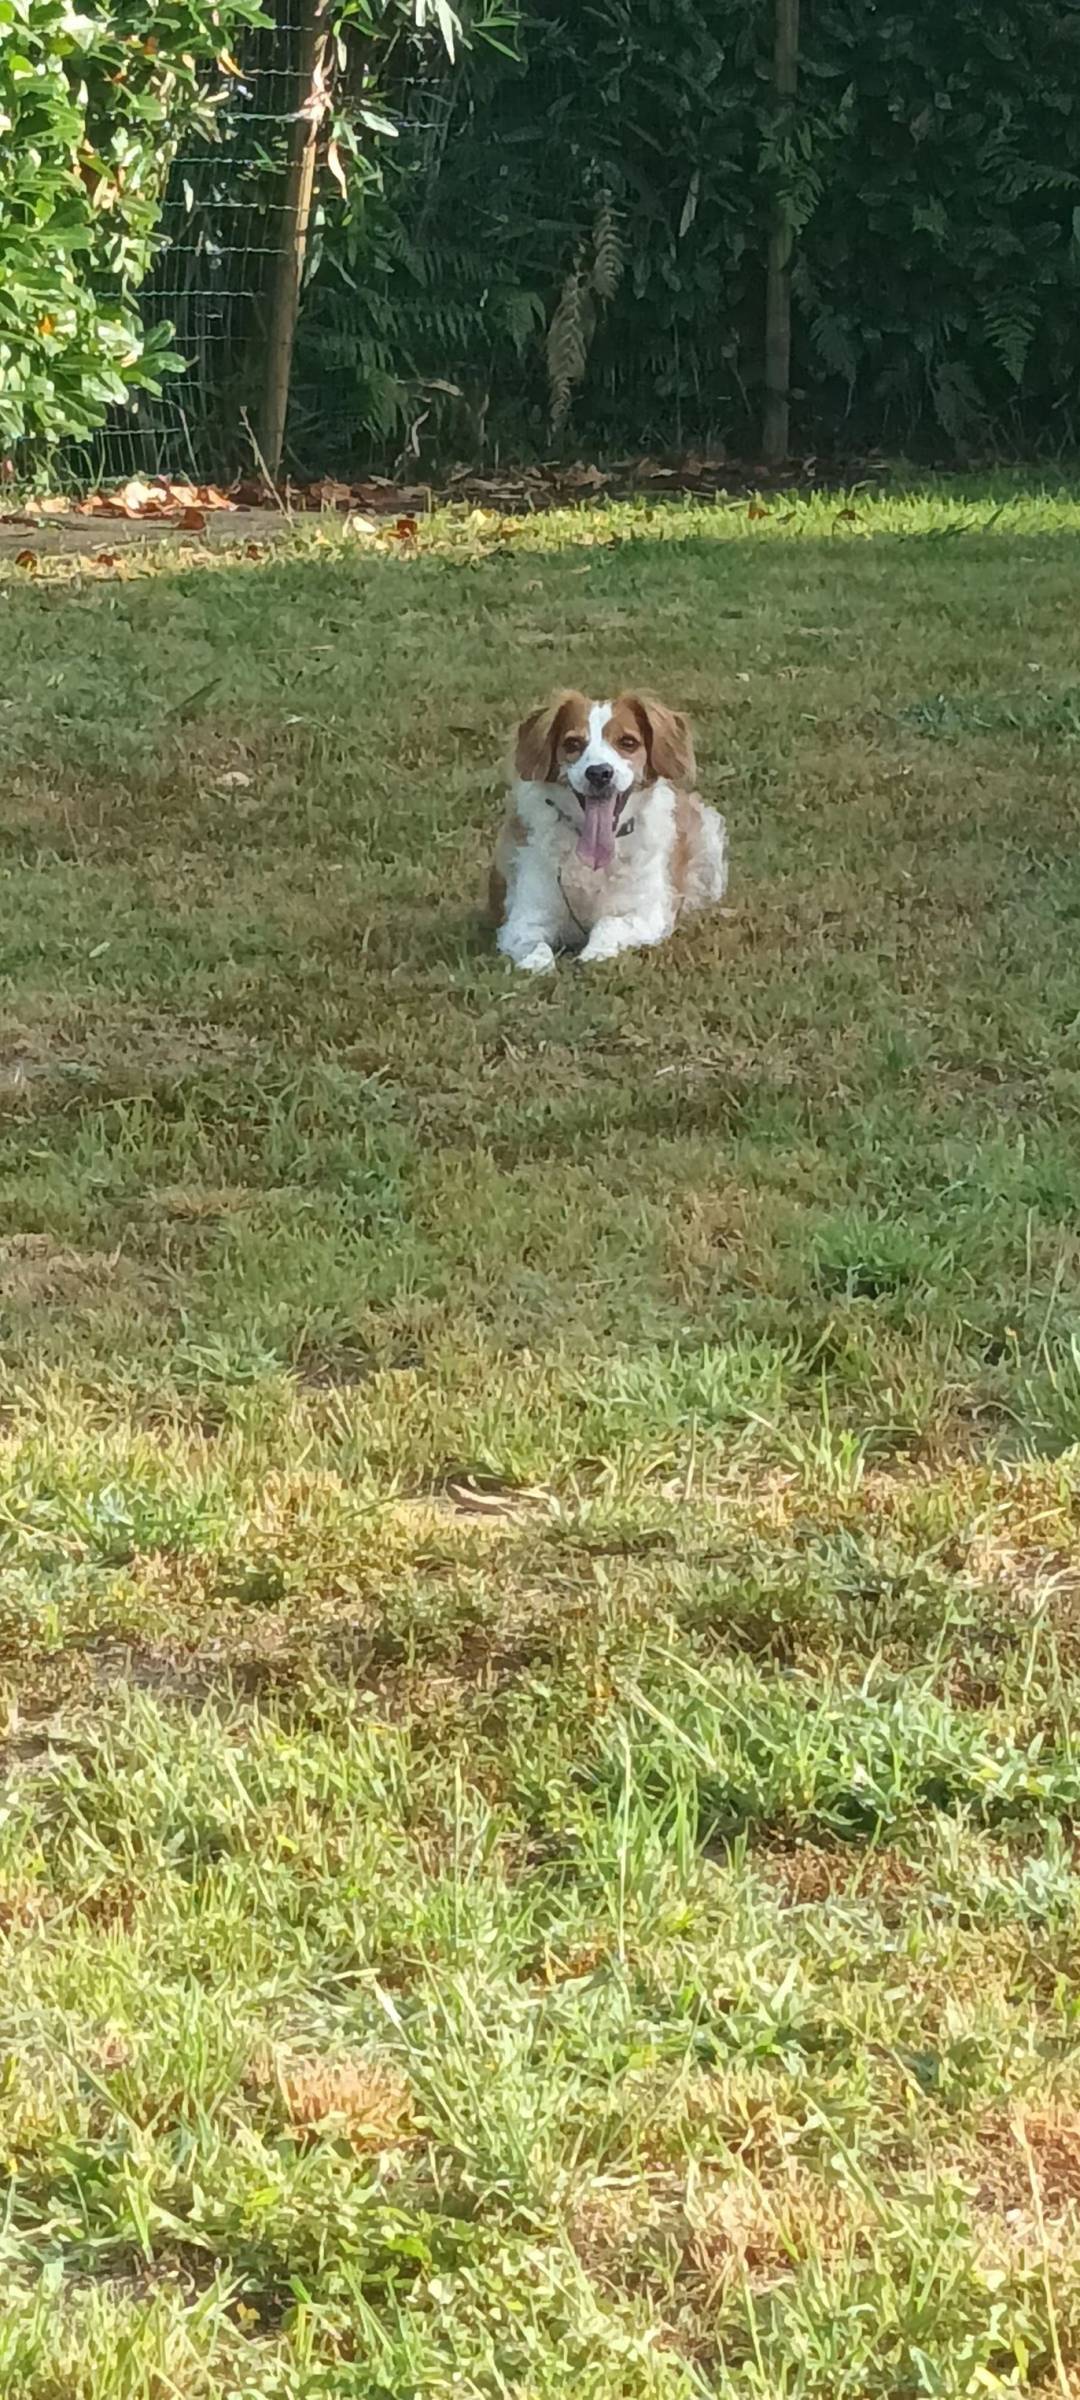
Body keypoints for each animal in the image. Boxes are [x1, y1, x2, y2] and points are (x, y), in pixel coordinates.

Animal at [492, 686, 729, 964]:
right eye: (572, 744)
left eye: (628, 742)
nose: (599, 773)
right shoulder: (526, 916)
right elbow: (532, 943)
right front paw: (537, 963)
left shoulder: (648, 915)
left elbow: (608, 923)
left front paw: (594, 952)